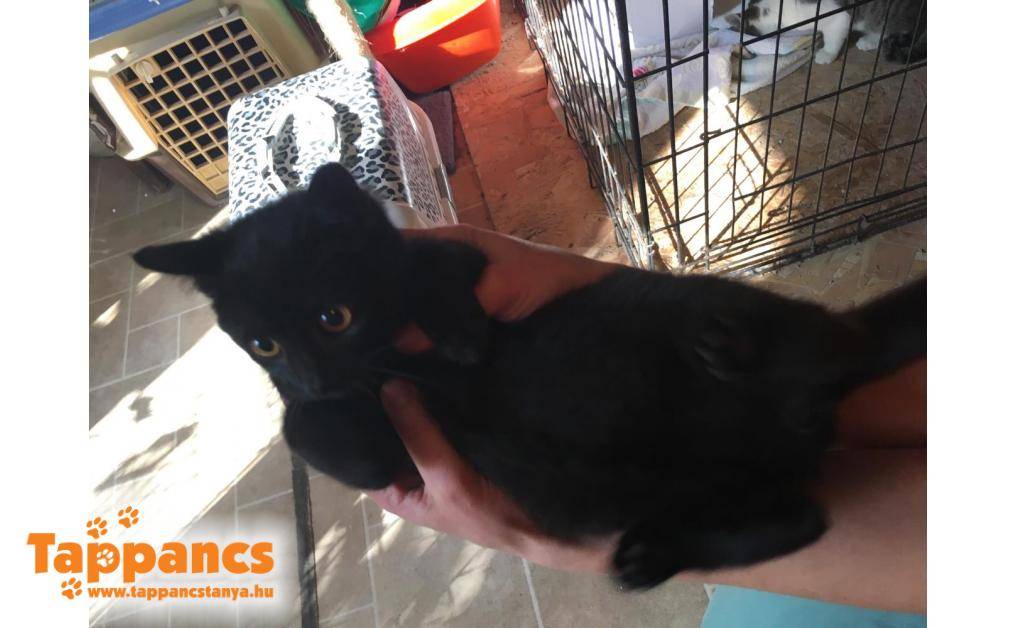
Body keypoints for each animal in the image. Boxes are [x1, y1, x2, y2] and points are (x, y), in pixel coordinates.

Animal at [133, 163, 926, 589]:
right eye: (262, 343)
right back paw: (653, 552)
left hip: (691, 310)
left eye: (335, 317)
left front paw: (458, 335)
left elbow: (436, 274)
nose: (309, 375)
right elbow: (312, 433)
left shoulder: (467, 255)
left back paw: (730, 346)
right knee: (805, 518)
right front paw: (333, 411)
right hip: (717, 484)